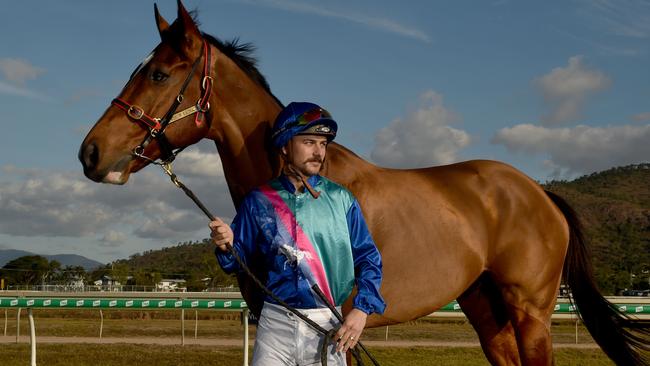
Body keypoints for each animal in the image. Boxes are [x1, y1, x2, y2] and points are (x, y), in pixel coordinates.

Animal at [78, 1, 644, 364]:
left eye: (158, 74)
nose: (91, 152)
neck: (301, 182)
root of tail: (536, 192)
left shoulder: (339, 328)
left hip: (531, 315)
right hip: (488, 313)